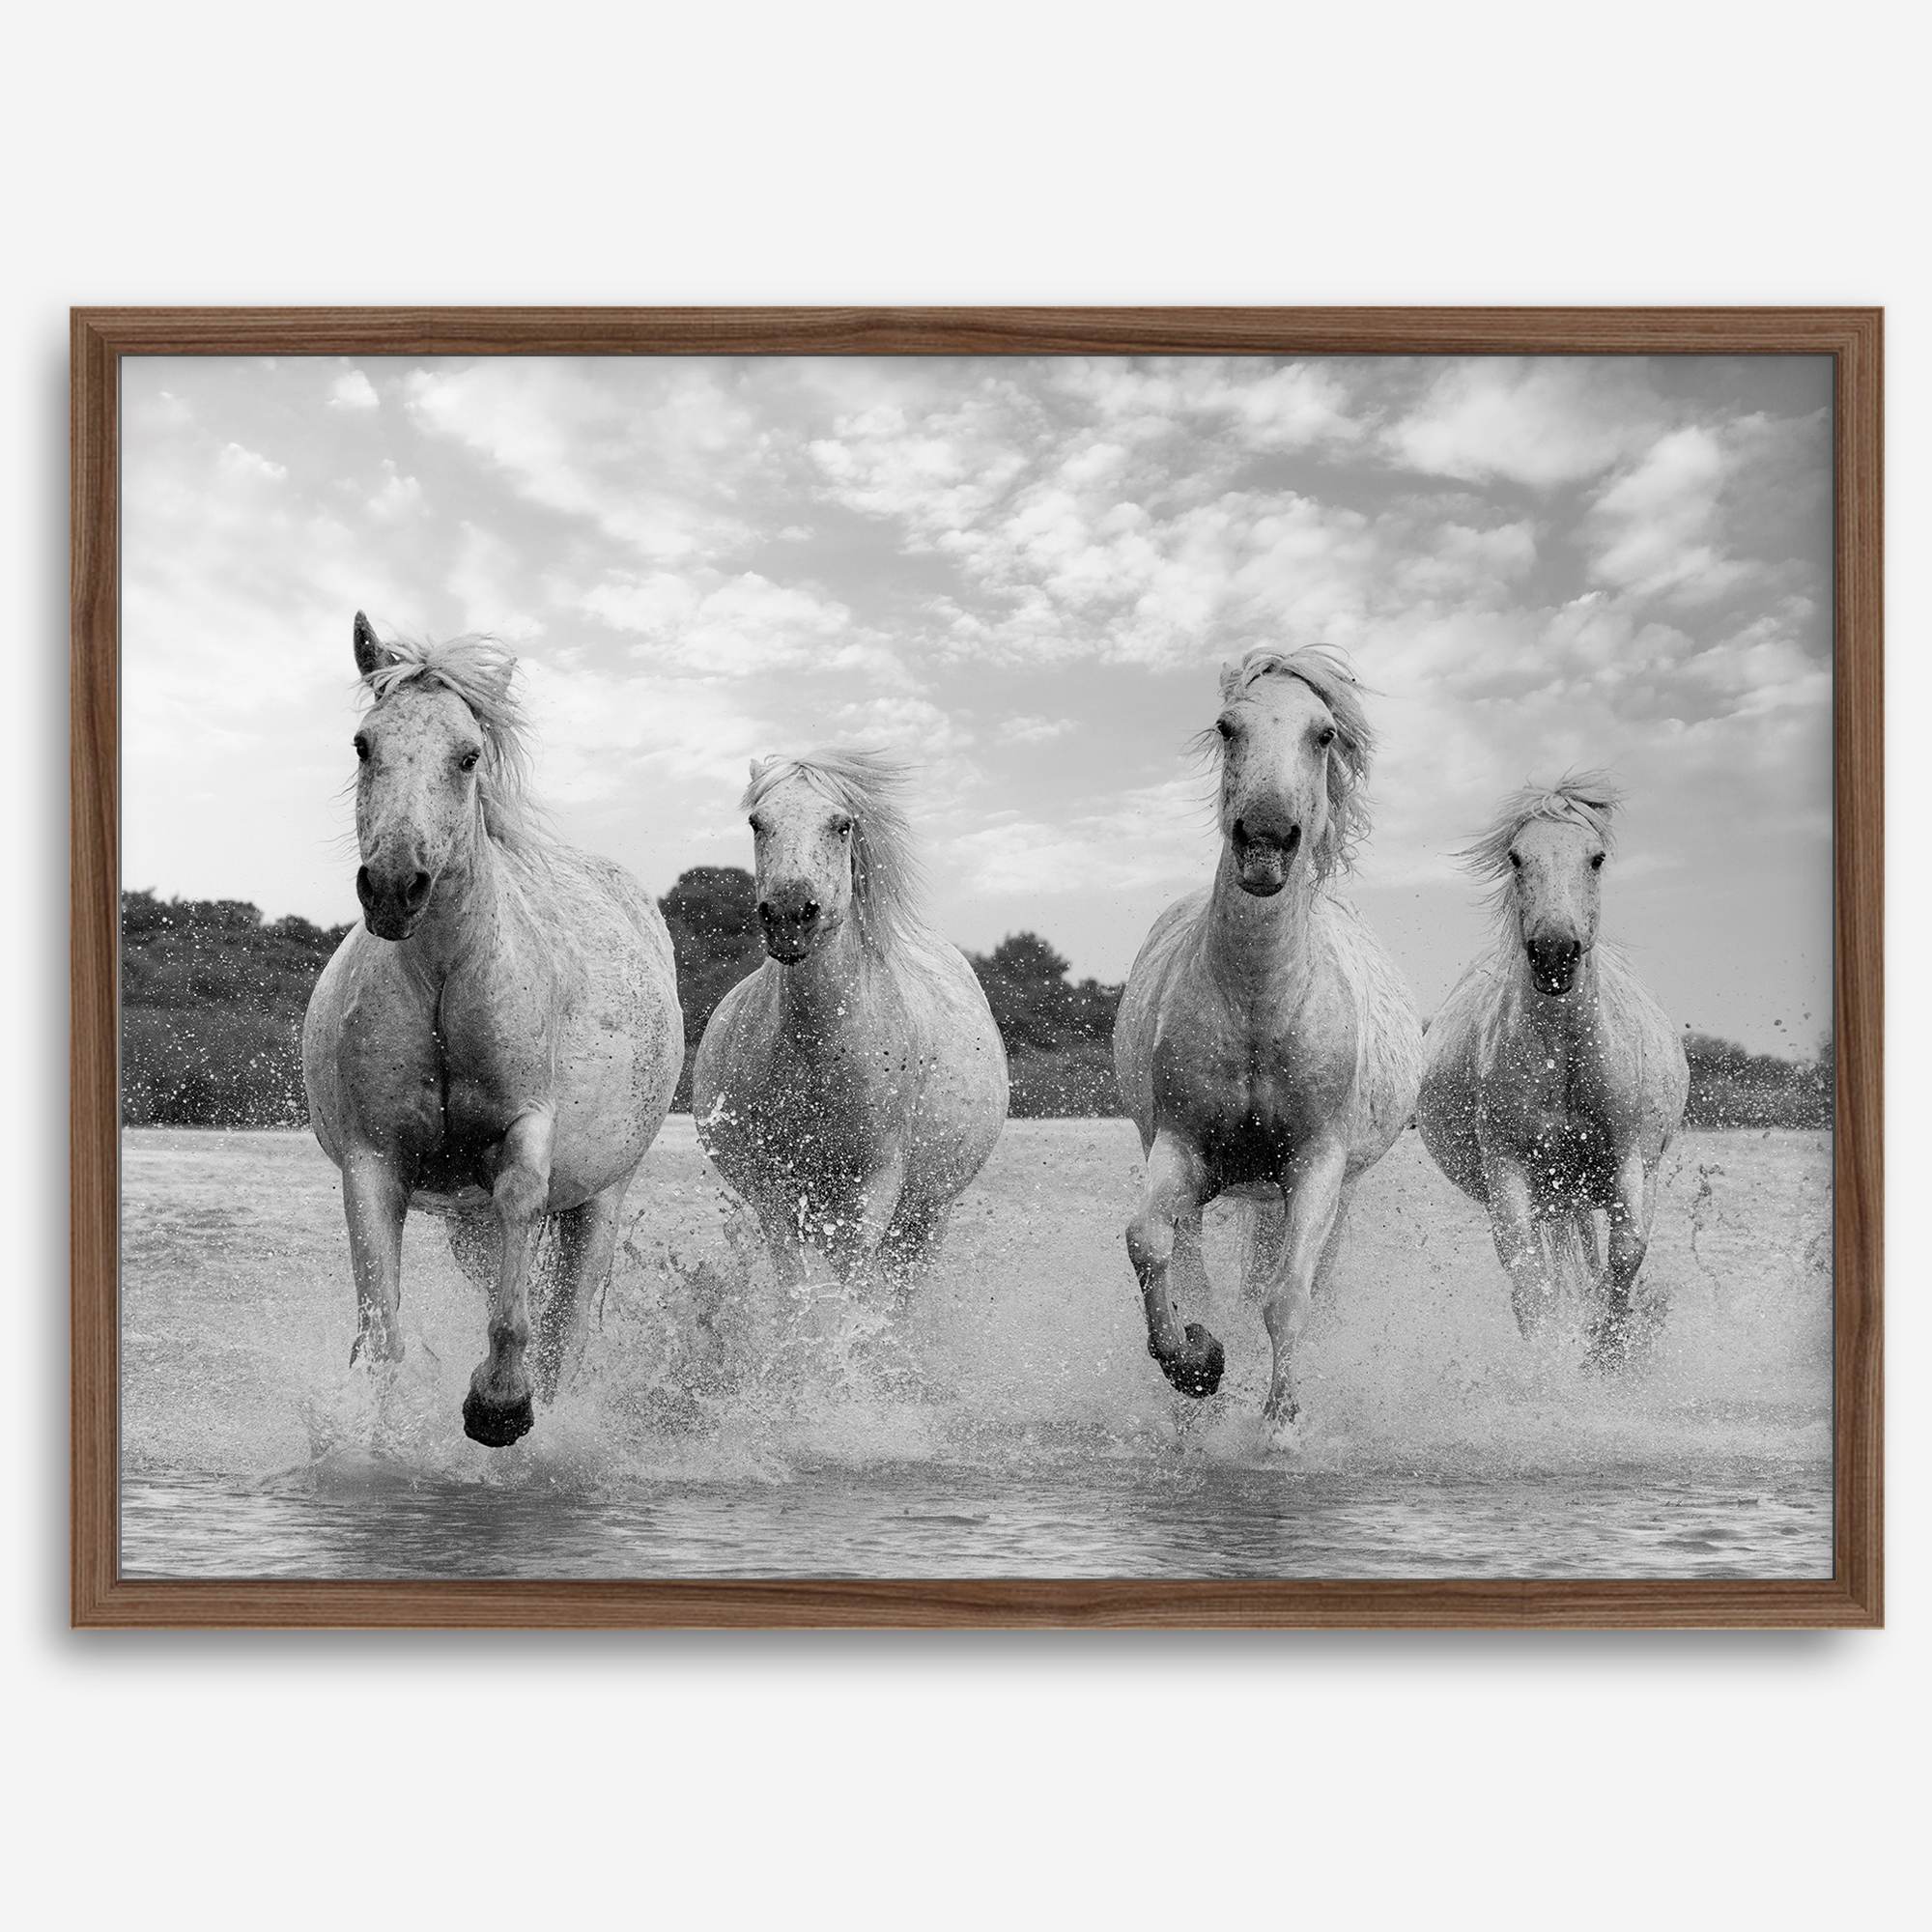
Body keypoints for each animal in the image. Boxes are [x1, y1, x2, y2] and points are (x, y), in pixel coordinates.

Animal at [302, 614, 683, 1447]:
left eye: (468, 754)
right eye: (364, 744)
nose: (394, 888)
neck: (448, 973)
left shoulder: (525, 1129)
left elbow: (519, 1226)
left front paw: (500, 1403)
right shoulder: (373, 1162)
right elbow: (382, 1334)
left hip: (600, 1200)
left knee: (567, 1330)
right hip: (466, 1224)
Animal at [691, 750, 1008, 1286]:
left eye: (841, 825)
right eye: (757, 822)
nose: (790, 915)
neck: (819, 1048)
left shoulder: (875, 1186)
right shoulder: (776, 1194)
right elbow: (798, 1295)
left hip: (927, 1214)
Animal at [1114, 646, 1423, 1444]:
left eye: (1323, 734)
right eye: (1229, 727)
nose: (1263, 839)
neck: (1259, 1003)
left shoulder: (1316, 1166)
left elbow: (1287, 1297)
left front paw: (1281, 1425)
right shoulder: (1181, 1149)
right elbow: (1148, 1241)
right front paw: (1197, 1365)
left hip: (1334, 1190)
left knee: (1299, 1281)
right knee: (1196, 1265)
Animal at [1414, 773, 1689, 1363]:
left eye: (1596, 857)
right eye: (1517, 857)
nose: (1555, 952)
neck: (1566, 1053)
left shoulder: (1630, 1164)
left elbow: (1624, 1258)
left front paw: (1605, 1355)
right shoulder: (1510, 1172)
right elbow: (1531, 1283)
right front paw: (1550, 1367)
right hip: (1553, 1197)